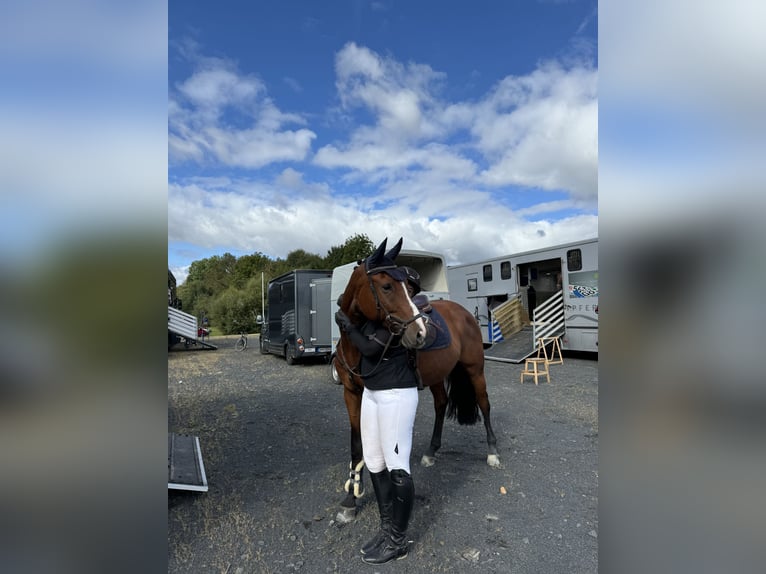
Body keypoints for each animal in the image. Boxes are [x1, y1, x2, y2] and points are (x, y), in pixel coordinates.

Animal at [332, 238, 500, 528]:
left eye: (407, 289)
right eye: (387, 286)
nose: (419, 332)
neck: (356, 347)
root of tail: (463, 312)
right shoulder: (351, 394)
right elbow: (356, 445)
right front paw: (350, 500)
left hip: (474, 369)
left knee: (484, 404)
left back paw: (492, 452)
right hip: (438, 376)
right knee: (441, 404)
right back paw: (431, 451)